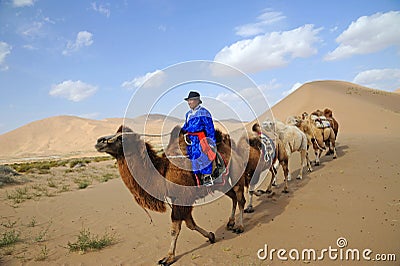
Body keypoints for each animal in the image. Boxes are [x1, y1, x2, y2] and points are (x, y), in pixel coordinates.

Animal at [96, 125, 247, 266]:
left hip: (236, 173)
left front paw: (168, 258)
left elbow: (175, 229)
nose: (99, 141)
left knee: (240, 198)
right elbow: (190, 224)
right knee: (233, 197)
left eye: (120, 138)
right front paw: (211, 236)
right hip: (222, 184)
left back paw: (239, 227)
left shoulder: (182, 198)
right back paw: (230, 223)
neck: (163, 172)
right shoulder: (178, 199)